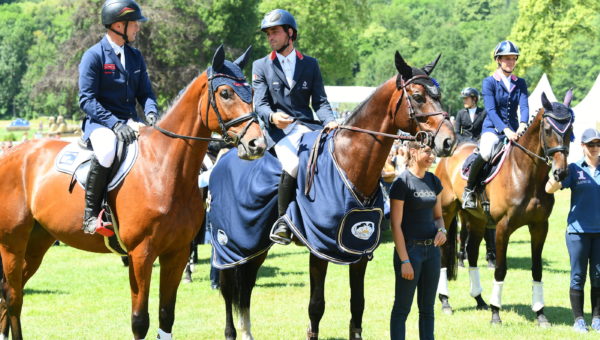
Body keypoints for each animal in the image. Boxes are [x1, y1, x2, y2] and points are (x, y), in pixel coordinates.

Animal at [0, 45, 264, 340]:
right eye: (226, 93)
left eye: (251, 91)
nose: (257, 144)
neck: (165, 167)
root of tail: (11, 153)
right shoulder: (141, 254)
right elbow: (140, 321)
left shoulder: (176, 253)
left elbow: (166, 316)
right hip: (11, 243)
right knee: (12, 296)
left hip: (37, 243)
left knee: (11, 294)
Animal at [218, 51, 458, 340]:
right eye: (419, 96)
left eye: (439, 95)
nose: (449, 141)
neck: (349, 163)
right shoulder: (319, 249)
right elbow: (316, 306)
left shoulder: (359, 250)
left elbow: (358, 304)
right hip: (231, 241)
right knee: (229, 287)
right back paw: (231, 332)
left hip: (256, 244)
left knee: (247, 285)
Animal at [436, 91, 576, 326]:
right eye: (548, 130)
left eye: (570, 130)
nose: (561, 173)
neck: (526, 174)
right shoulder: (503, 227)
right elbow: (500, 269)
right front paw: (496, 314)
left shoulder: (540, 226)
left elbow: (537, 269)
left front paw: (540, 314)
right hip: (448, 212)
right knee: (445, 253)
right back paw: (446, 302)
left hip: (477, 219)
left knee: (472, 253)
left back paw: (479, 300)